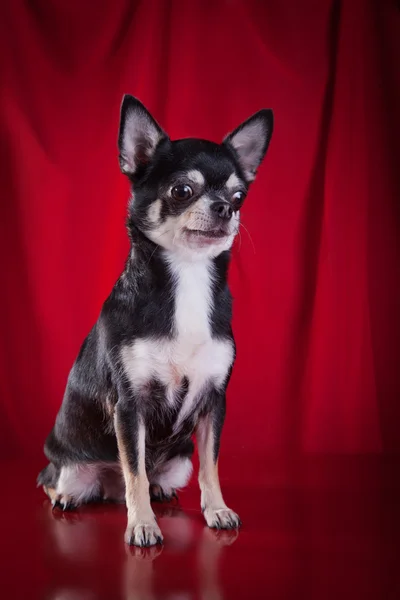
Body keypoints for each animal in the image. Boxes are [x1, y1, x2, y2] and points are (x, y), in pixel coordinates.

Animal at [37, 92, 274, 544]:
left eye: (239, 197)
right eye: (182, 190)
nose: (225, 208)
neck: (187, 278)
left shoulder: (214, 402)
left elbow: (211, 466)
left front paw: (217, 509)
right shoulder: (130, 406)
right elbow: (134, 471)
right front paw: (142, 524)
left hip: (180, 461)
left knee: (153, 477)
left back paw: (161, 490)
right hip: (71, 467)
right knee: (64, 481)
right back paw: (69, 496)